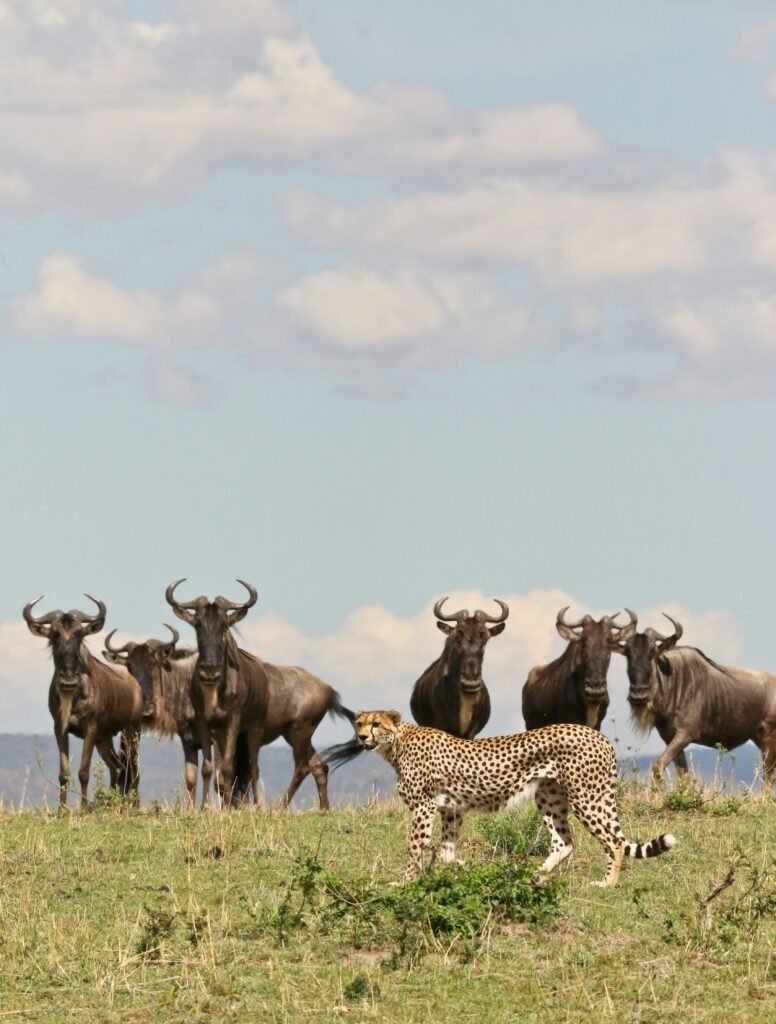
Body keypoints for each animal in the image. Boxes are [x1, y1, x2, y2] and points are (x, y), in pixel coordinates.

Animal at [351, 710, 677, 886]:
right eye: (359, 723)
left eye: (376, 724)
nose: (362, 738)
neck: (395, 744)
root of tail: (598, 735)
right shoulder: (452, 810)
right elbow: (446, 853)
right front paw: (465, 868)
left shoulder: (424, 807)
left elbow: (414, 849)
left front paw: (405, 881)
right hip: (550, 798)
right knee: (565, 842)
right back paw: (534, 875)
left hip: (586, 797)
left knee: (614, 842)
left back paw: (607, 883)